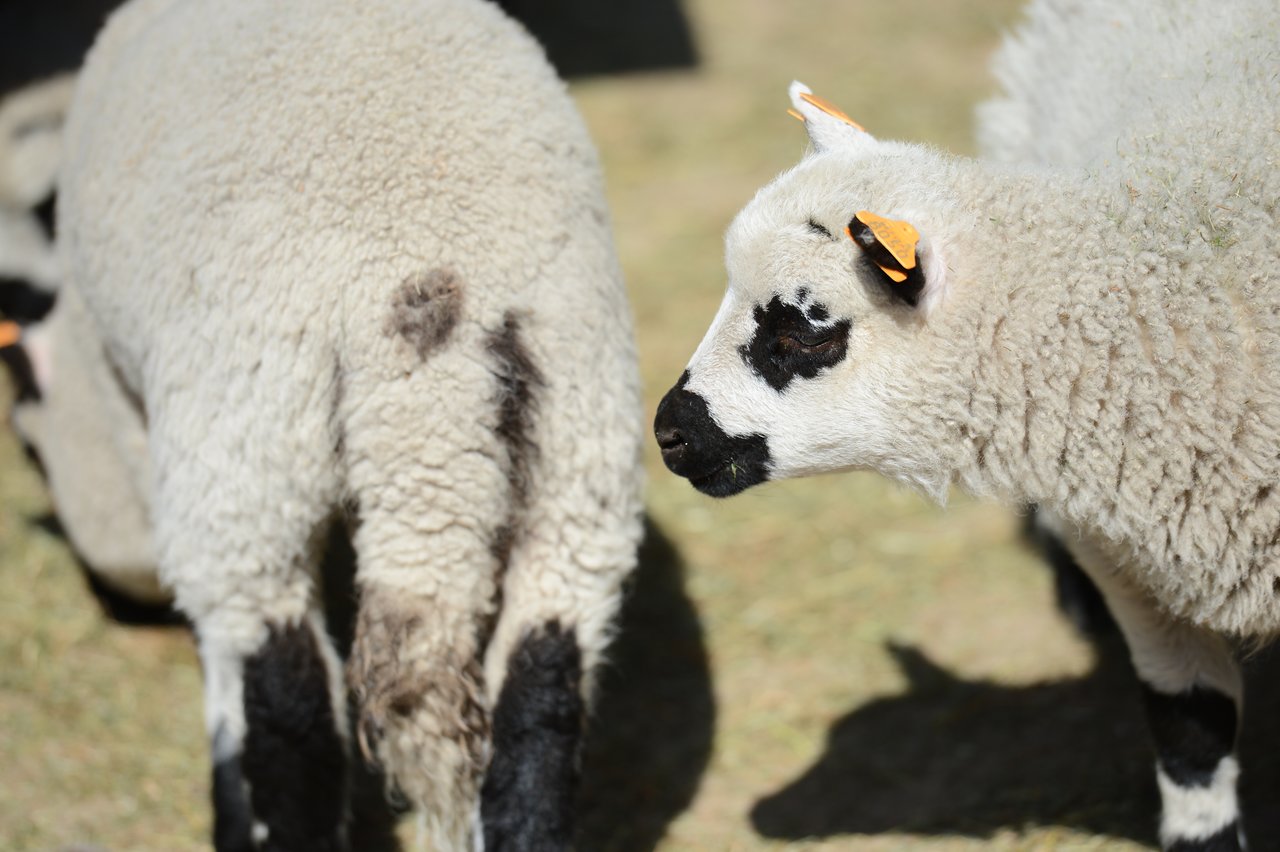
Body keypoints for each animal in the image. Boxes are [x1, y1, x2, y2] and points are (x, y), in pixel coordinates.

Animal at [9, 0, 645, 848]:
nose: (116, 607)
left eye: (28, 447)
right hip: (584, 442)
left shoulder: (135, 410)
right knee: (542, 693)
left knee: (286, 705)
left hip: (246, 436)